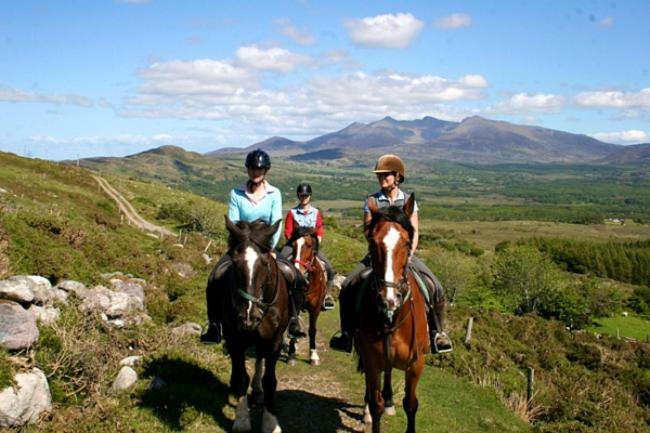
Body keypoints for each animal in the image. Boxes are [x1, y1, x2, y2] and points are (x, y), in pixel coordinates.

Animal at [211, 216, 288, 432]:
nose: (248, 316)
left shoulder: (274, 340)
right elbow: (241, 378)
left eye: (265, 263)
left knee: (260, 359)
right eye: (235, 262)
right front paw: (242, 421)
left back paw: (258, 389)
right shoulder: (234, 338)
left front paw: (271, 423)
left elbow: (270, 380)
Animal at [284, 226, 330, 364]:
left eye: (309, 245)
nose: (296, 269)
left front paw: (313, 355)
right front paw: (291, 354)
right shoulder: (295, 305)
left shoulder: (315, 309)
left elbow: (312, 330)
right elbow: (293, 326)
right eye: (293, 245)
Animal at [352, 195, 428, 432]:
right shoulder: (370, 360)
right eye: (372, 242)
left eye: (406, 243)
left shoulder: (416, 365)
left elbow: (411, 405)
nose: (389, 299)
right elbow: (374, 402)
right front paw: (373, 411)